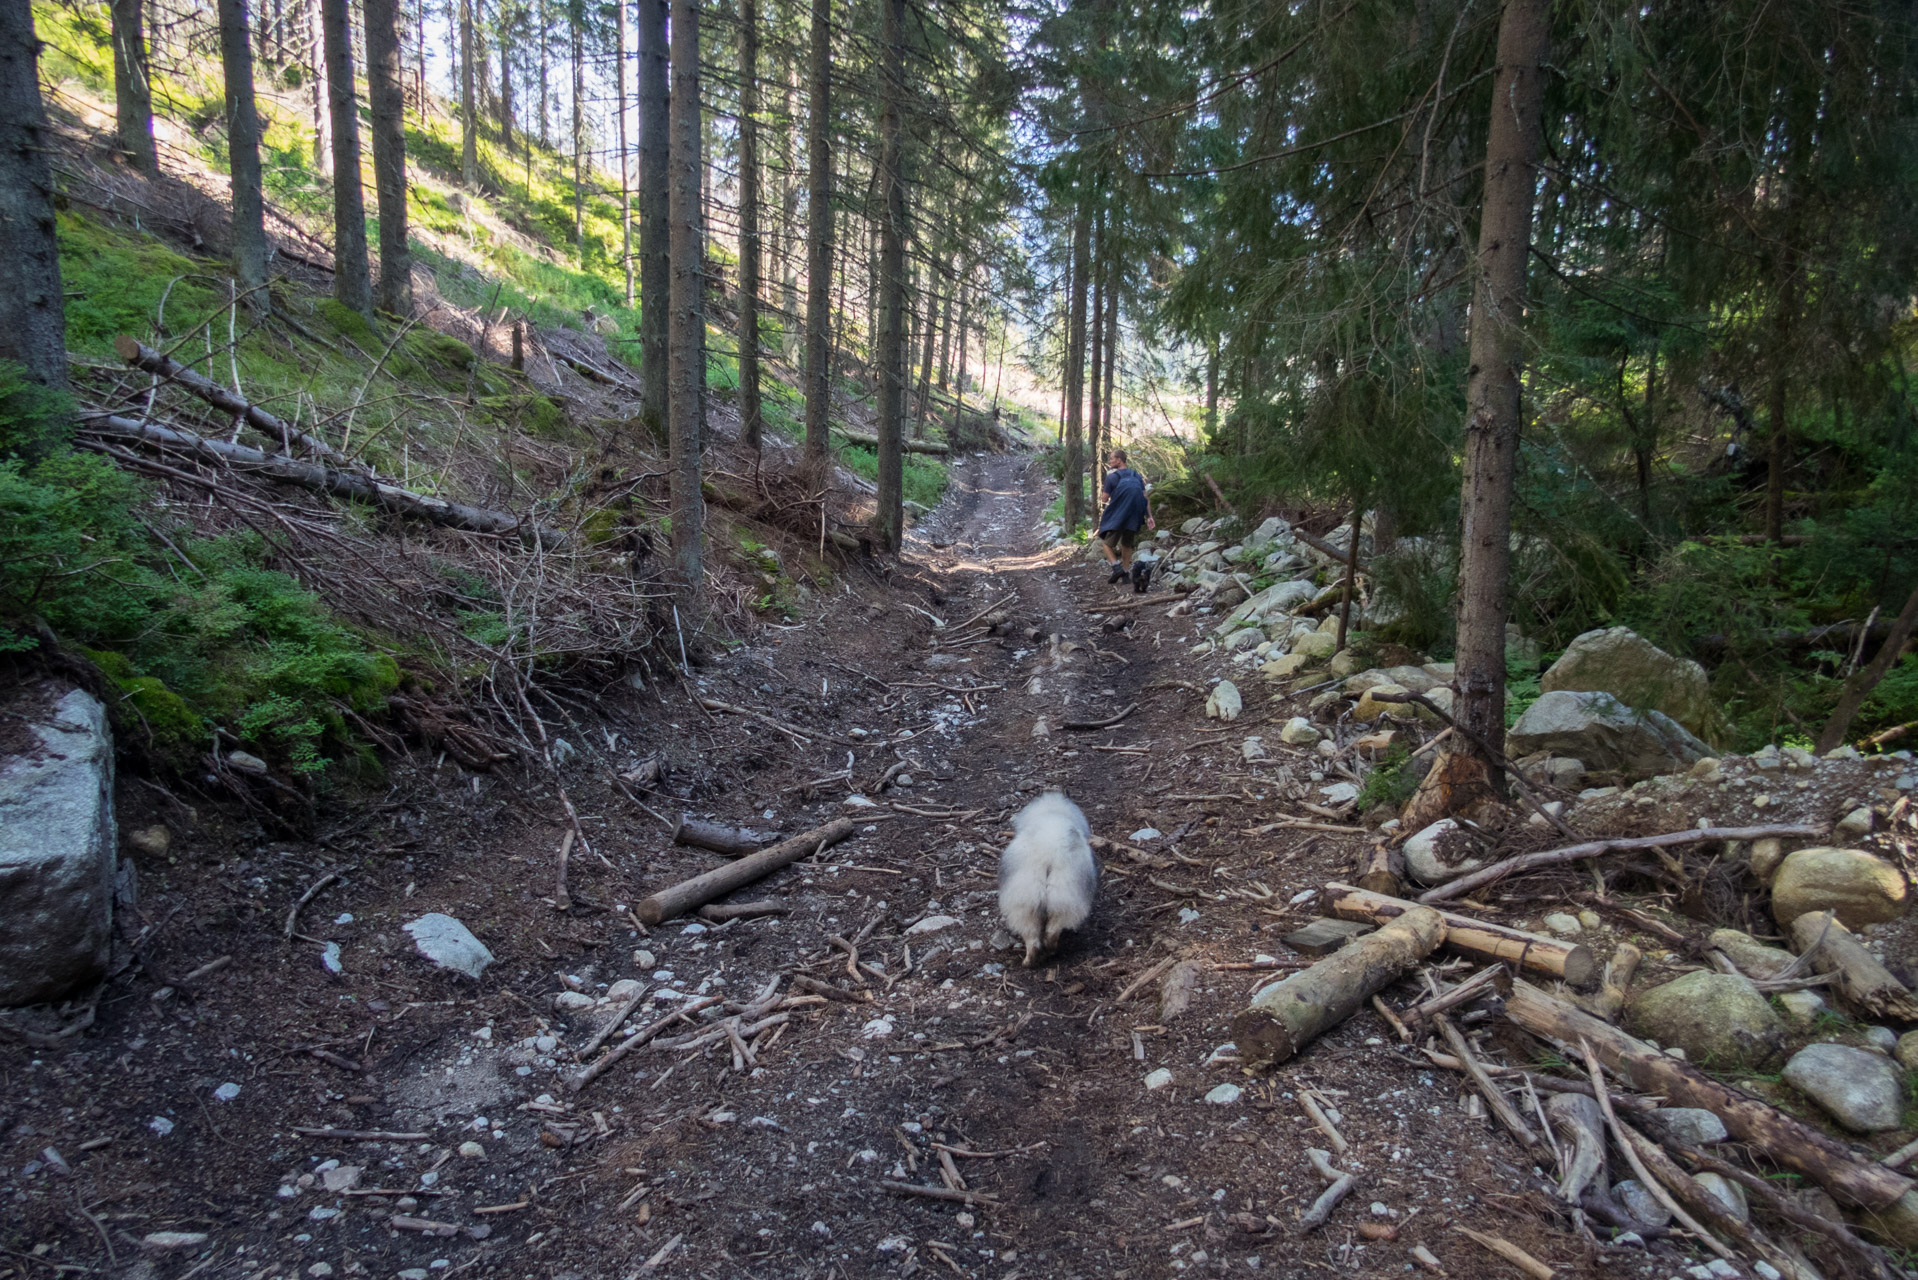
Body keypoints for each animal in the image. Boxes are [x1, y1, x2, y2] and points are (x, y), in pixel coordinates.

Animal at [1005, 790, 1097, 971]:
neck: (1052, 811)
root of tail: (1049, 852)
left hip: (1027, 904)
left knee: (1035, 937)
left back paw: (1031, 961)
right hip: (1060, 900)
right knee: (1049, 933)